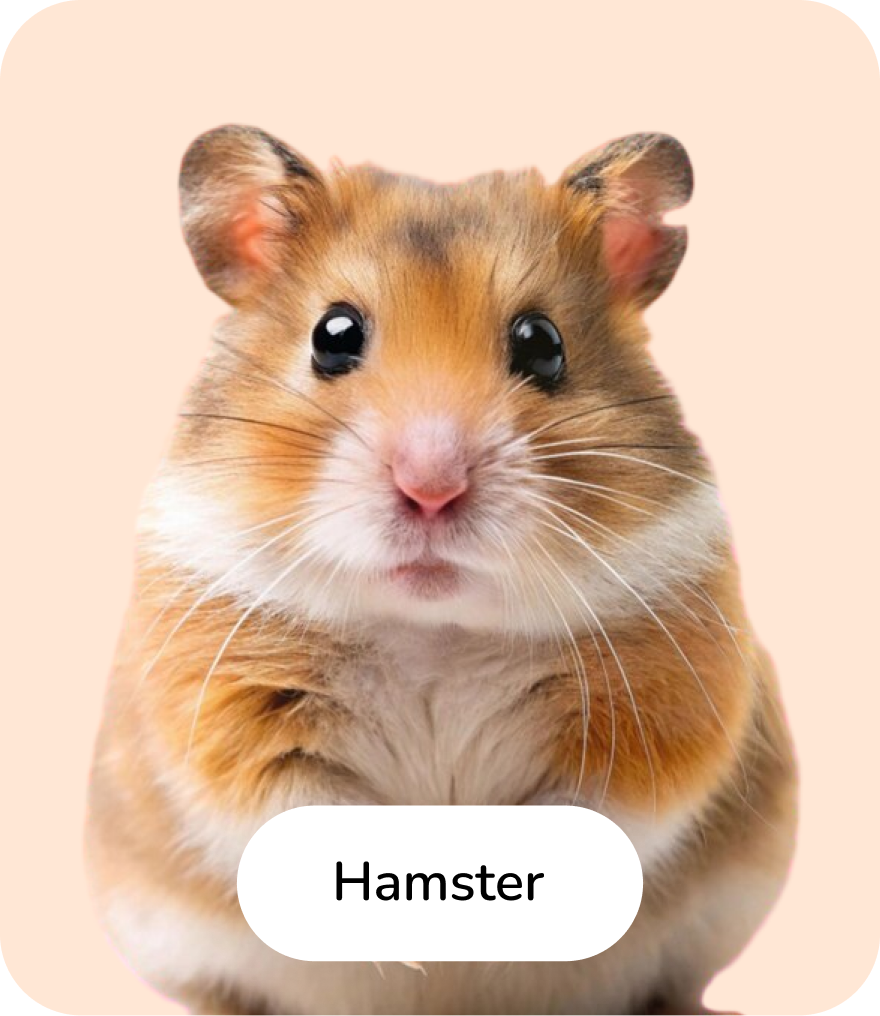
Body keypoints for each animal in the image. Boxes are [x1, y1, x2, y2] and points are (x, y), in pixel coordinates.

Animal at [85, 125, 797, 1016]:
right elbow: (295, 811)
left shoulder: (659, 712)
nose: (431, 488)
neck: (435, 633)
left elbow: (594, 813)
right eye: (333, 336)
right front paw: (418, 957)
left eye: (542, 344)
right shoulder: (227, 716)